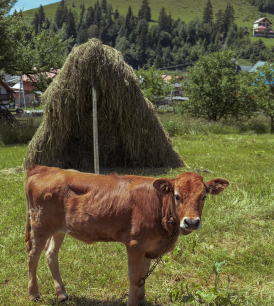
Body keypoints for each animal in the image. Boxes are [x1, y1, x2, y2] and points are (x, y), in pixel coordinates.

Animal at [25, 166, 228, 304]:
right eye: (177, 196)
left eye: (204, 197)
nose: (191, 222)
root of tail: (43, 168)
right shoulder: (135, 244)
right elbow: (135, 277)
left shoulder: (148, 247)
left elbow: (144, 276)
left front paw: (142, 301)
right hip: (40, 226)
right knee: (33, 256)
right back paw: (34, 293)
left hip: (58, 229)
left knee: (51, 254)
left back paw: (61, 294)